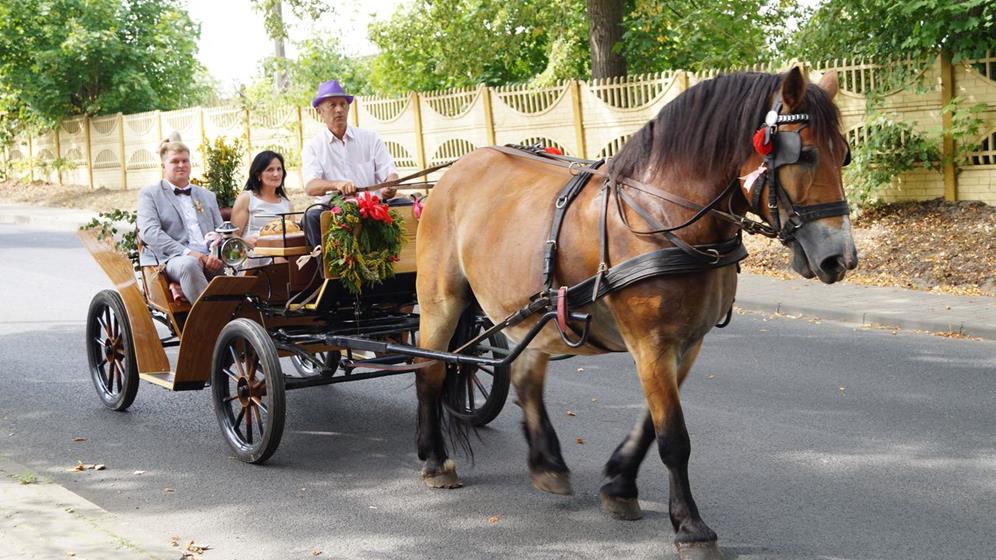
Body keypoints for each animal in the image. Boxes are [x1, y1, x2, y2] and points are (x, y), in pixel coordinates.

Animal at [412, 69, 856, 556]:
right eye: (806, 155)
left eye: (844, 155)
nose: (840, 258)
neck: (662, 216)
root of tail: (457, 170)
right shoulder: (652, 343)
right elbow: (673, 437)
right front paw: (690, 526)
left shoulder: (686, 344)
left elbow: (649, 425)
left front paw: (620, 486)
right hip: (440, 301)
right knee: (430, 370)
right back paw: (435, 461)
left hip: (531, 310)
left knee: (526, 378)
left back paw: (547, 463)